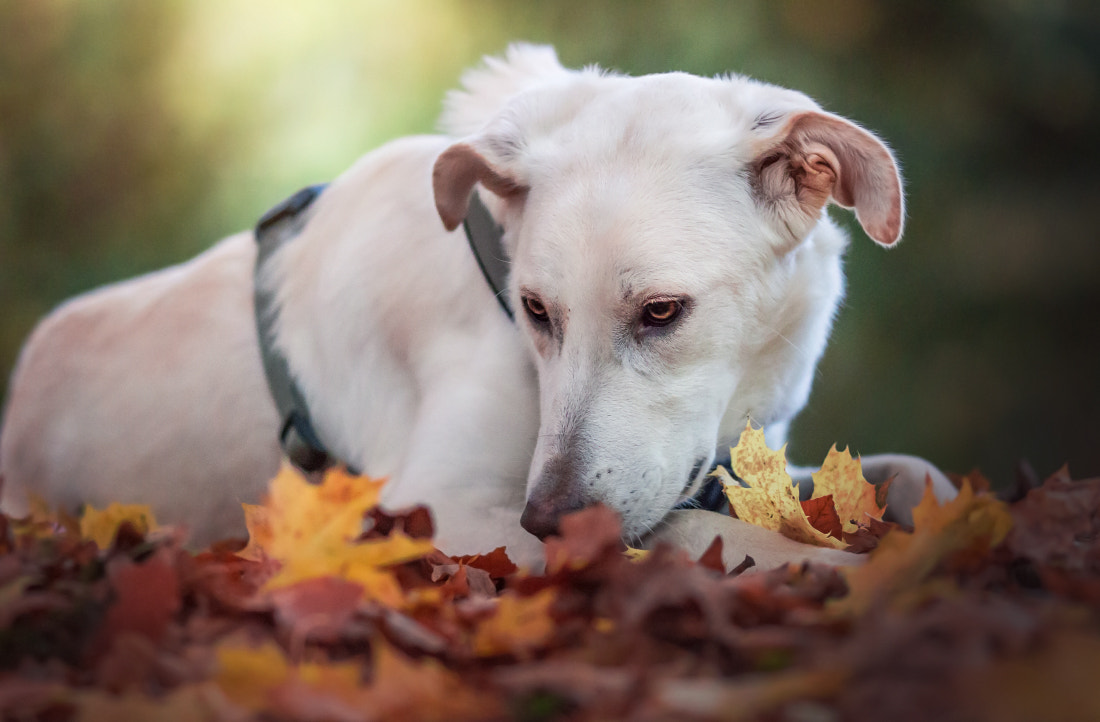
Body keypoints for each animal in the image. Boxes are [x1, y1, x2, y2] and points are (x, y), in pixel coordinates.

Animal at [0, 45, 950, 572]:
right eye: (535, 309)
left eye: (661, 312)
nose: (552, 520)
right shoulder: (433, 506)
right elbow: (684, 535)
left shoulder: (738, 467)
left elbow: (910, 472)